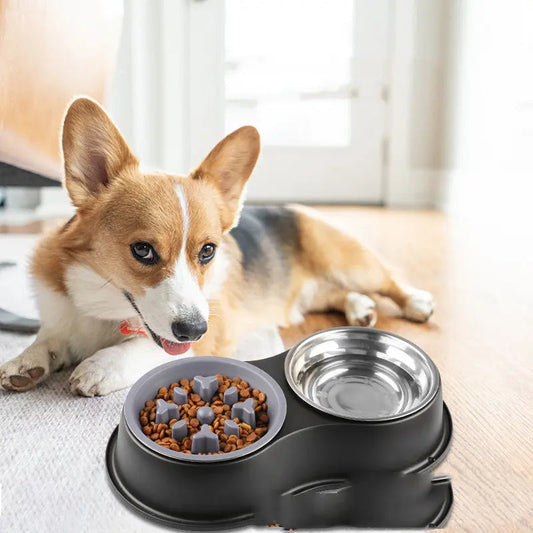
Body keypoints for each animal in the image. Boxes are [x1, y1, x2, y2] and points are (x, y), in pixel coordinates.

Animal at [0, 96, 432, 394]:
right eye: (143, 250)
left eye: (207, 251)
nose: (193, 329)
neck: (104, 304)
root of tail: (295, 208)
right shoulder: (62, 318)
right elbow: (49, 339)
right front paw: (25, 361)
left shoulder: (207, 335)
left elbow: (142, 348)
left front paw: (101, 366)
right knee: (338, 295)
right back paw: (360, 309)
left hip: (350, 262)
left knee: (387, 280)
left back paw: (415, 302)